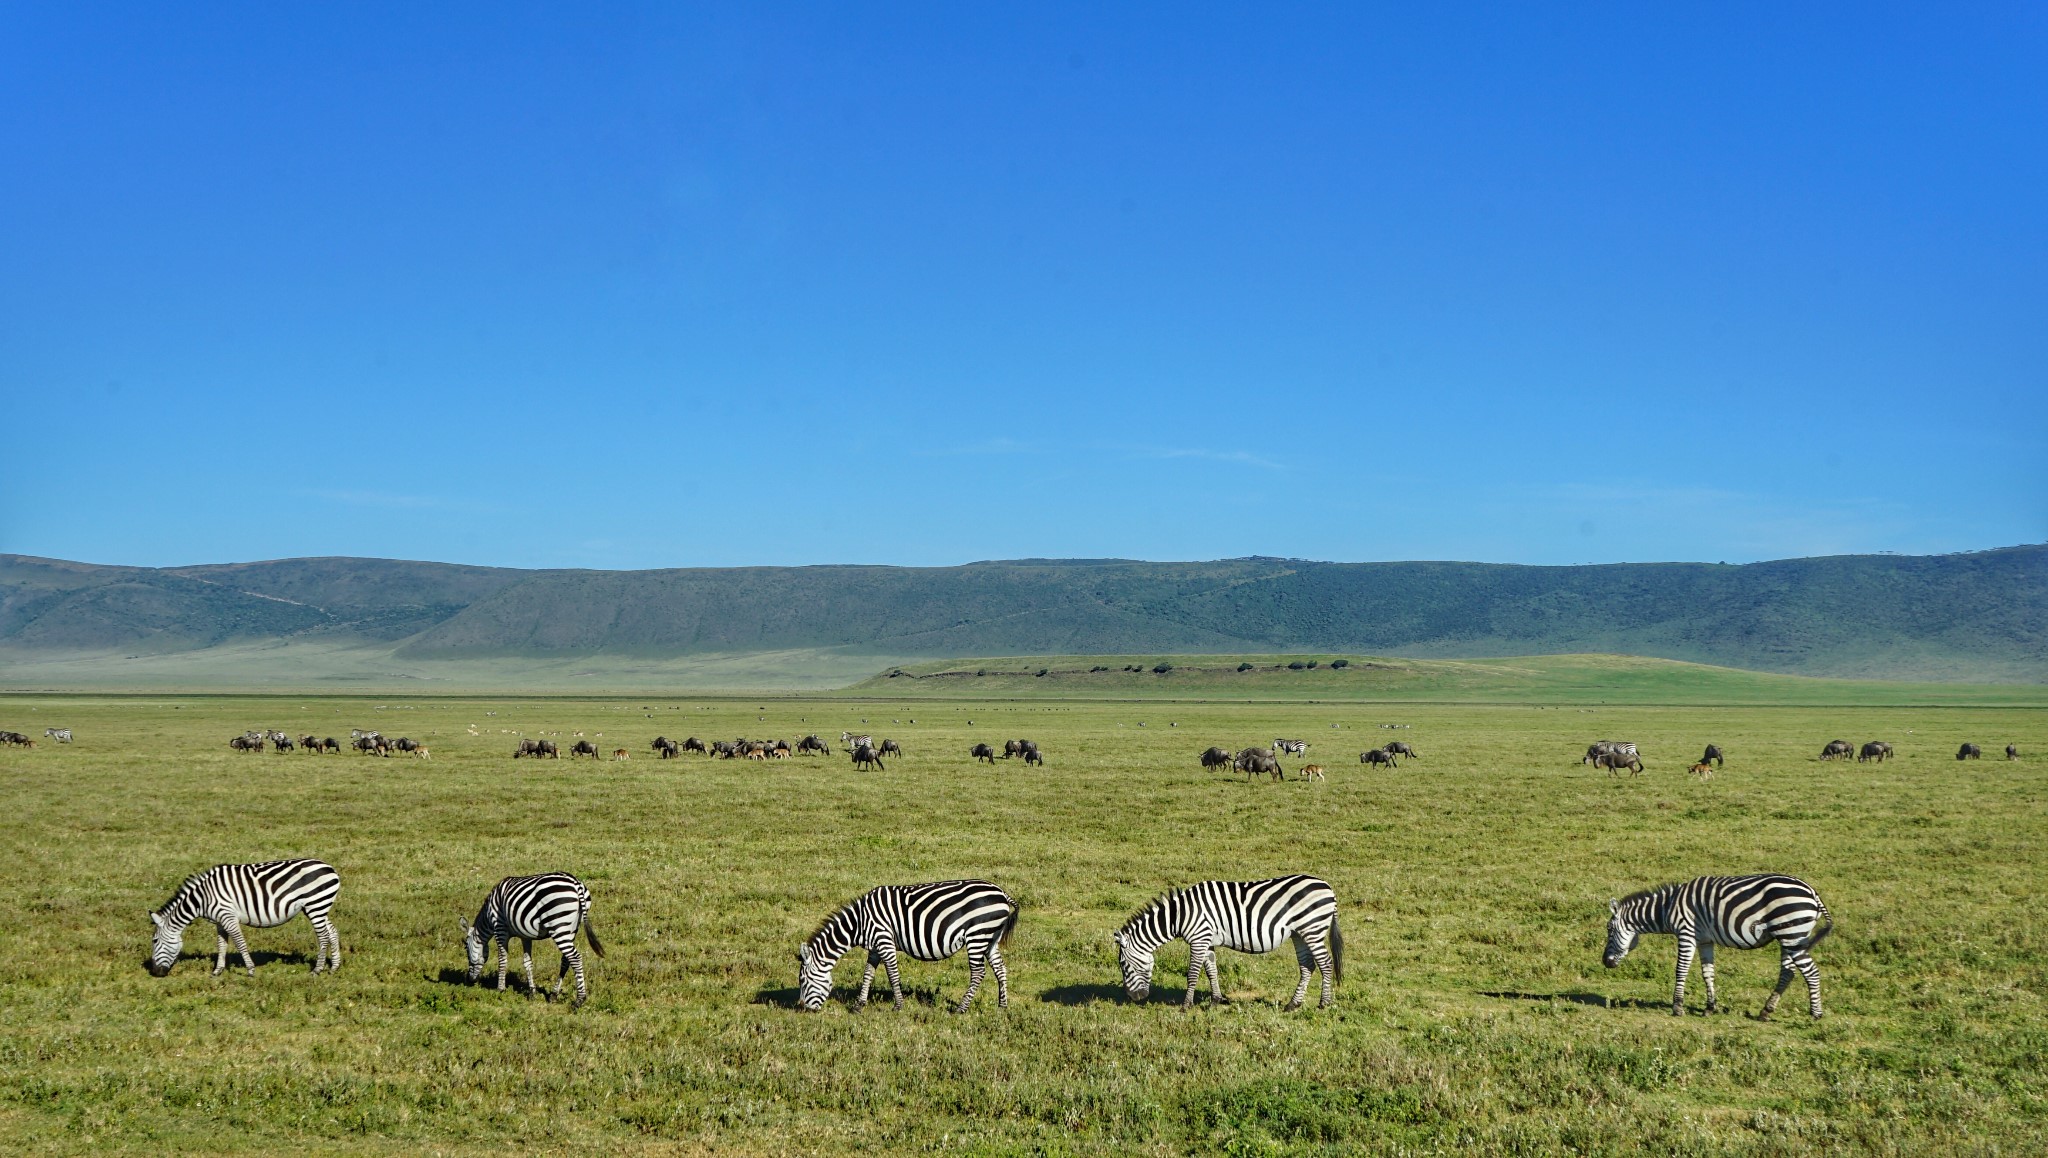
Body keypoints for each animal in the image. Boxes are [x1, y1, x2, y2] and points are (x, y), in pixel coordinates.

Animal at [146, 856, 342, 975]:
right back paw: (334, 967)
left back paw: (317, 970)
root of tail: (330, 868)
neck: (202, 898)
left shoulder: (228, 916)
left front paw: (250, 970)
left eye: (154, 941)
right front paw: (217, 971)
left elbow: (240, 943)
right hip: (318, 907)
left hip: (315, 906)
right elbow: (221, 945)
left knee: (323, 936)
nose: (154, 972)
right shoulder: (219, 921)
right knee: (332, 932)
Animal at [458, 869, 598, 1004]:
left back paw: (580, 999)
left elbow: (502, 959)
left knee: (575, 958)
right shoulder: (525, 936)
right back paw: (554, 994)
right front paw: (532, 992)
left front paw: (500, 989)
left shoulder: (500, 928)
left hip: (558, 925)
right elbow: (527, 962)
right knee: (566, 959)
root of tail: (576, 883)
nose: (469, 980)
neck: (488, 916)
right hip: (572, 928)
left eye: (465, 948)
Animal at [798, 877, 1024, 1012]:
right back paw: (1002, 1006)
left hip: (978, 935)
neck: (859, 923)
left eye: (803, 981)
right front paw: (859, 1005)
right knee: (1000, 969)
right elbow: (868, 973)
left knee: (978, 972)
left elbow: (892, 975)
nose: (804, 1009)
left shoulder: (884, 940)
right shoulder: (875, 947)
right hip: (991, 938)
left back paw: (961, 1008)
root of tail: (1002, 893)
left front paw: (898, 1006)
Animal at [1122, 873, 1343, 1008]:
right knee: (1307, 966)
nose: (1133, 998)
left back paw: (1324, 1003)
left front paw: (1186, 1006)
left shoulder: (1198, 938)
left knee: (1325, 963)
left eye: (1124, 966)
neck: (1180, 915)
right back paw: (1292, 1005)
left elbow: (1192, 973)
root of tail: (1328, 888)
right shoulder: (1207, 940)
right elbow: (1211, 971)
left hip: (1312, 929)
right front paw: (1215, 1001)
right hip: (1300, 933)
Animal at [1605, 873, 1835, 1016]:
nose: (1605, 962)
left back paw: (1816, 1013)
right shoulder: (1705, 940)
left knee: (1811, 972)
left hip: (1791, 934)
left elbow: (1681, 970)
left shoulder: (1686, 933)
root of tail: (1812, 892)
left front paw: (1677, 1007)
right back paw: (1766, 1011)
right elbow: (1708, 972)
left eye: (1609, 930)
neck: (1668, 907)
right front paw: (1709, 1007)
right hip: (1790, 937)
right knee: (1788, 972)